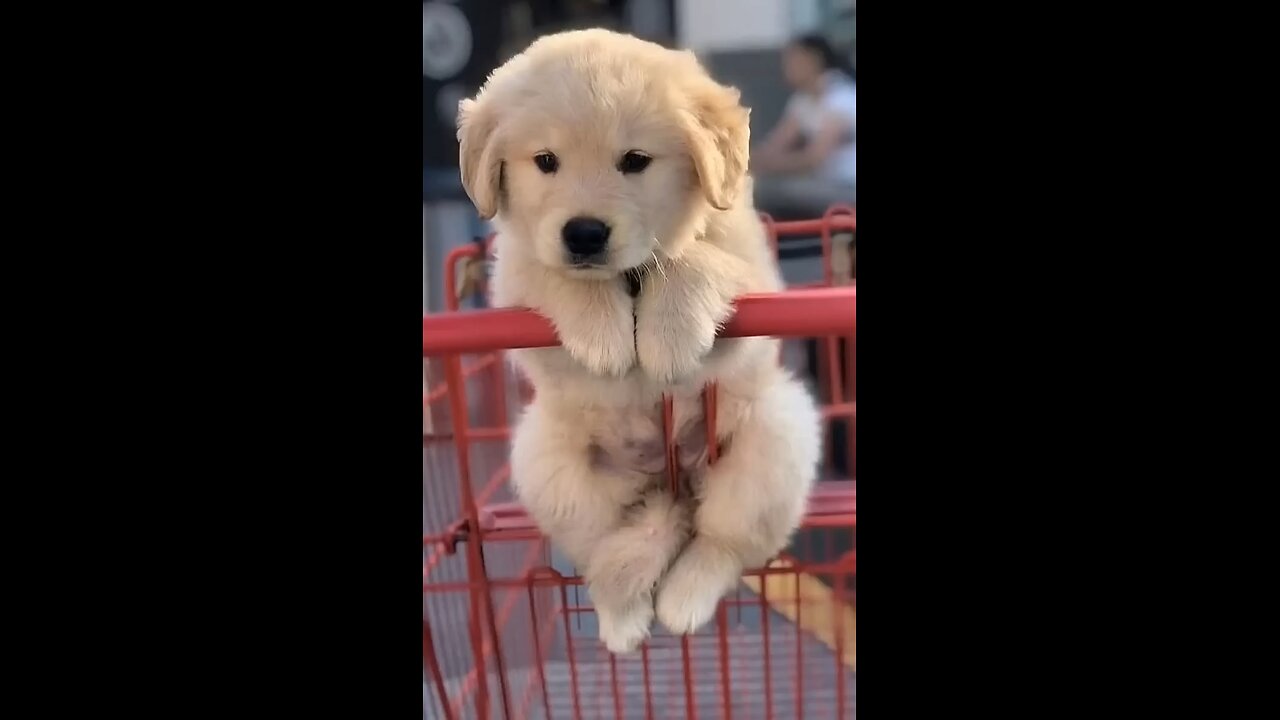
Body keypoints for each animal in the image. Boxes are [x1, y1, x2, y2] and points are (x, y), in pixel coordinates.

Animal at [458, 29, 819, 650]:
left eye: (635, 161)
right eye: (545, 161)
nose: (583, 234)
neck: (627, 277)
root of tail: (670, 480)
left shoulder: (756, 284)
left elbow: (695, 257)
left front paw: (668, 332)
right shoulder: (514, 283)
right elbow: (553, 274)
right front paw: (602, 331)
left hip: (776, 436)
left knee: (722, 542)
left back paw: (684, 598)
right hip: (546, 465)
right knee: (604, 549)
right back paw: (623, 618)